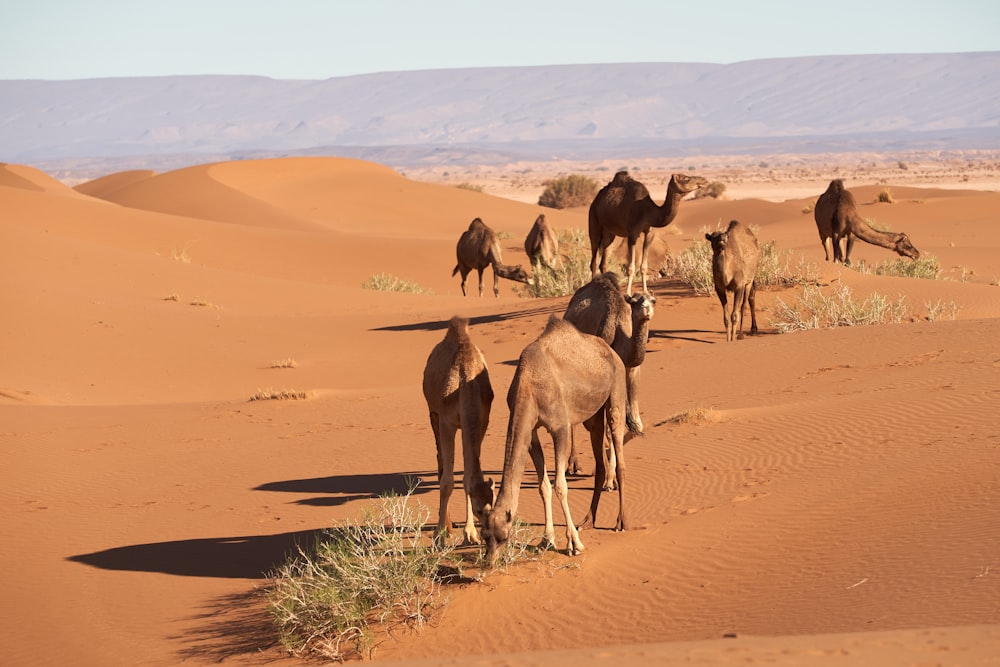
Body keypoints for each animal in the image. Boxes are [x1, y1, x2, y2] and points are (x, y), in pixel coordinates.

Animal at [422, 316, 496, 544]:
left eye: (494, 505)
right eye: (479, 510)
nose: (489, 535)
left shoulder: (480, 421)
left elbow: (467, 477)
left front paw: (470, 534)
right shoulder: (448, 421)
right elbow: (447, 481)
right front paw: (439, 534)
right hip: (433, 412)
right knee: (440, 461)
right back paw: (445, 525)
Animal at [478, 318, 640, 564]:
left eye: (503, 536)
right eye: (484, 534)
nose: (489, 561)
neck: (528, 384)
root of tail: (611, 351)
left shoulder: (560, 429)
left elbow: (560, 486)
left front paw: (574, 544)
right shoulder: (531, 431)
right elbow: (543, 486)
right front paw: (547, 540)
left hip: (616, 392)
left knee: (618, 448)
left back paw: (621, 522)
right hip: (593, 416)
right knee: (600, 460)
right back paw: (588, 521)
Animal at [564, 272, 656, 486]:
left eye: (653, 300)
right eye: (636, 301)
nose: (647, 309)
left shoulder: (632, 371)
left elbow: (634, 425)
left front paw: (607, 461)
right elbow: (608, 427)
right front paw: (609, 479)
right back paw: (573, 465)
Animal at [584, 172, 712, 294]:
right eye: (686, 178)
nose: (704, 180)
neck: (647, 211)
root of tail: (595, 200)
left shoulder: (648, 232)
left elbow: (644, 266)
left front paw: (645, 291)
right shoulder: (632, 233)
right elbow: (631, 267)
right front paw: (628, 293)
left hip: (609, 233)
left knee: (604, 261)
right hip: (593, 221)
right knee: (593, 260)